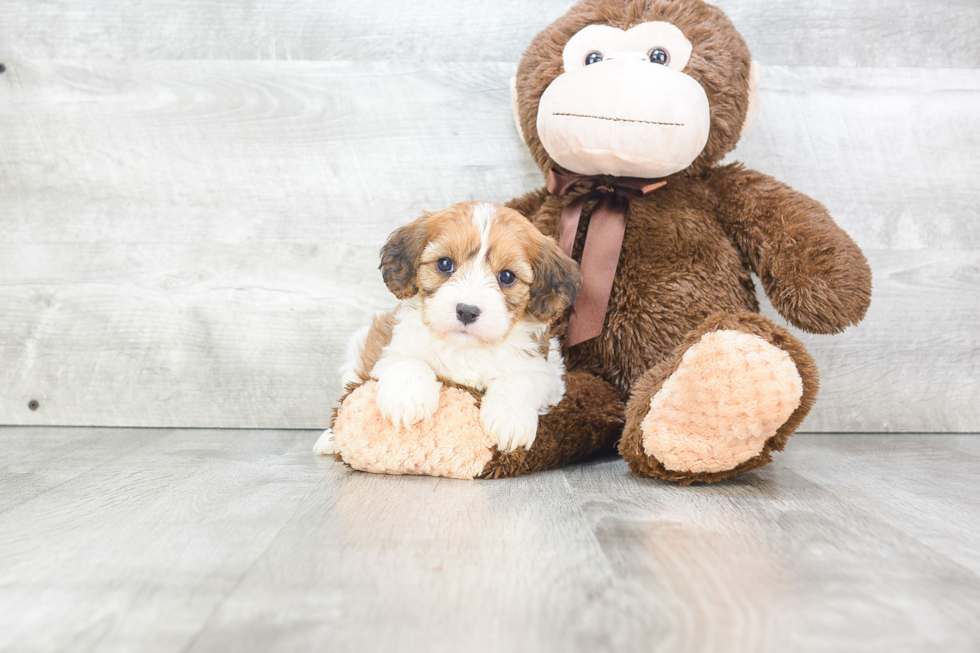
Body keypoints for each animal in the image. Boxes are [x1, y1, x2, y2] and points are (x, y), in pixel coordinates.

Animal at [314, 202, 580, 454]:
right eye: (444, 264)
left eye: (507, 276)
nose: (467, 311)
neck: (466, 348)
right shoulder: (391, 351)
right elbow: (409, 362)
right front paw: (407, 400)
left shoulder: (547, 371)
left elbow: (518, 380)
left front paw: (509, 419)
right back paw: (329, 439)